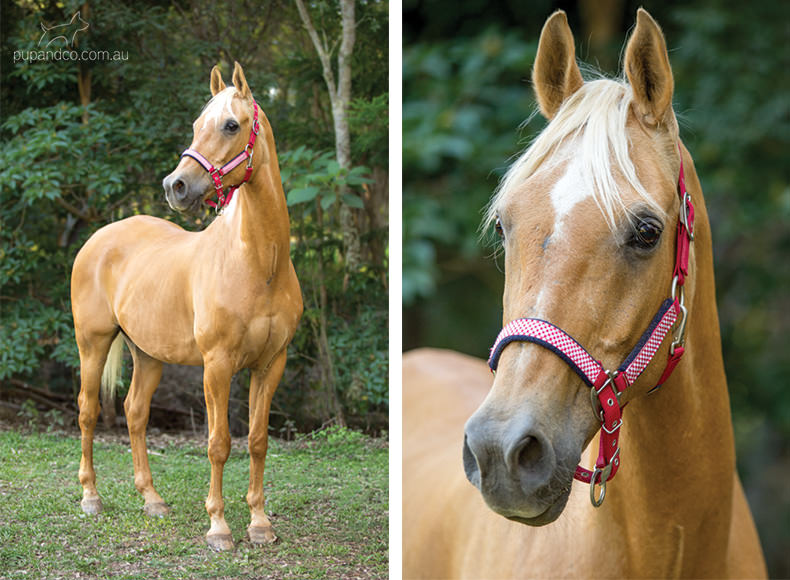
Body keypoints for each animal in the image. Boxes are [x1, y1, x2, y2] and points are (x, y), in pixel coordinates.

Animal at [72, 63, 304, 552]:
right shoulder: (216, 365)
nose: (174, 186)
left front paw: (259, 524)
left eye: (231, 125)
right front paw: (219, 528)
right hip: (93, 343)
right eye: (197, 125)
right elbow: (219, 443)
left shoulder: (270, 363)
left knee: (134, 413)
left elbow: (257, 440)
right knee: (87, 411)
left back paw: (152, 500)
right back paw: (91, 498)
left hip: (148, 355)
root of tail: (99, 237)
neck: (260, 264)